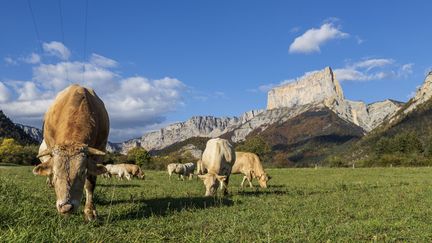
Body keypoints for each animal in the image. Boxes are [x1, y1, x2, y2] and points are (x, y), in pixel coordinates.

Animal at [32, 84, 108, 221]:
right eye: (56, 173)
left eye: (82, 172)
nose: (66, 207)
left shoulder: (100, 150)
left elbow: (90, 184)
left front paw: (90, 211)